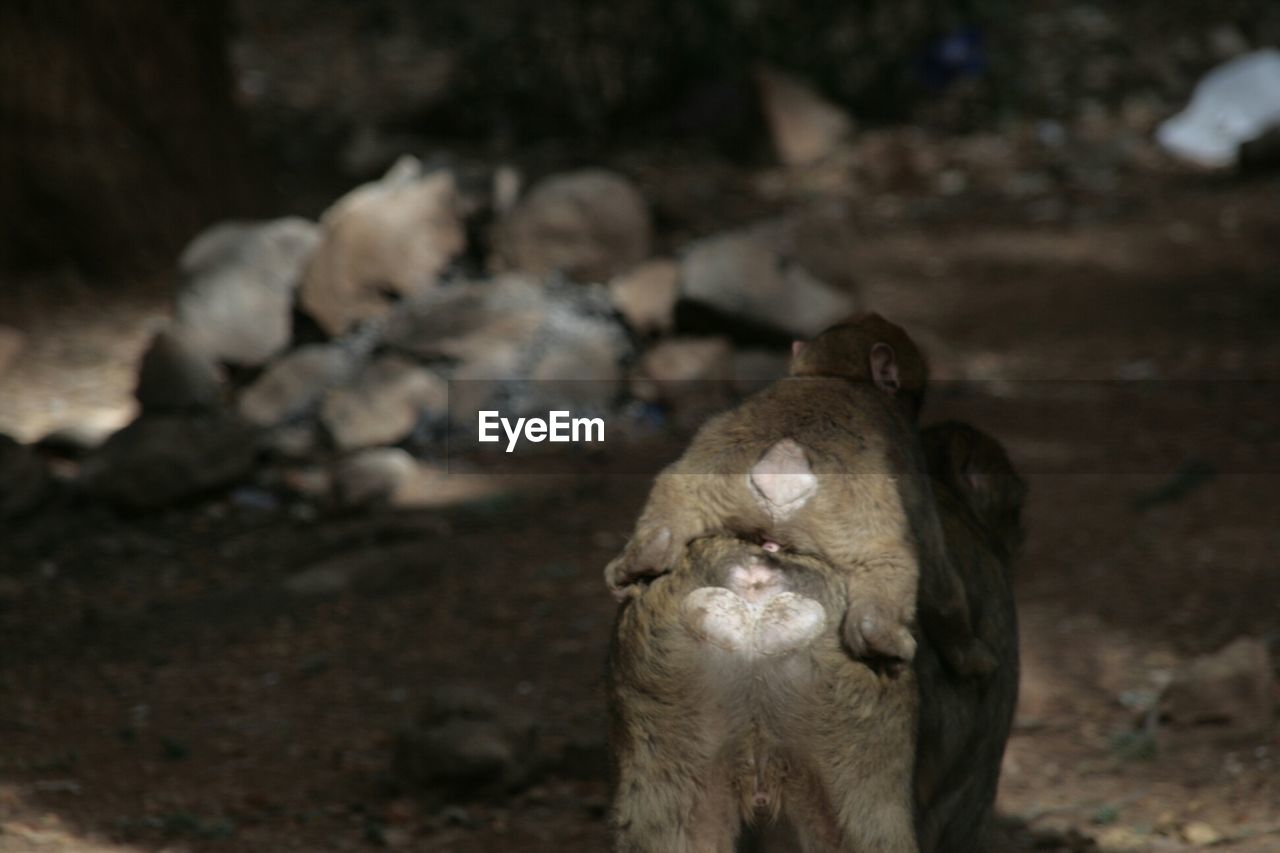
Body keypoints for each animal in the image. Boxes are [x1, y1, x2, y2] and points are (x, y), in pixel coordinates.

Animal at [604, 312, 993, 676]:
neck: (835, 374)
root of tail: (785, 458)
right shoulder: (911, 453)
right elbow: (938, 575)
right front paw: (971, 657)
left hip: (705, 484)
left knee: (668, 512)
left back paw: (635, 566)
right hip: (848, 519)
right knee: (889, 558)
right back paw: (882, 640)